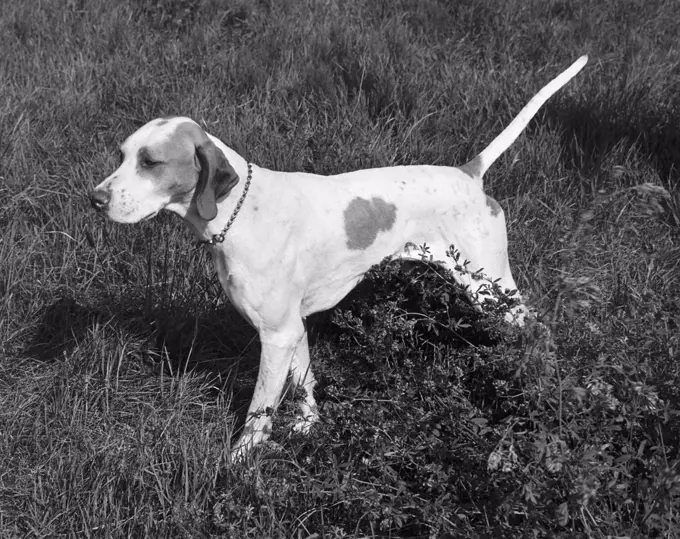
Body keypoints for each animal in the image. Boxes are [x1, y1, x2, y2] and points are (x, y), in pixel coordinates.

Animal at [90, 57, 588, 458]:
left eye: (151, 162)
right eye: (122, 154)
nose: (94, 199)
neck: (241, 211)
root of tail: (469, 174)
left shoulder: (275, 336)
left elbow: (258, 413)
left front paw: (239, 462)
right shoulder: (291, 329)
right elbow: (305, 384)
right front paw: (308, 426)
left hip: (492, 289)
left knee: (540, 331)